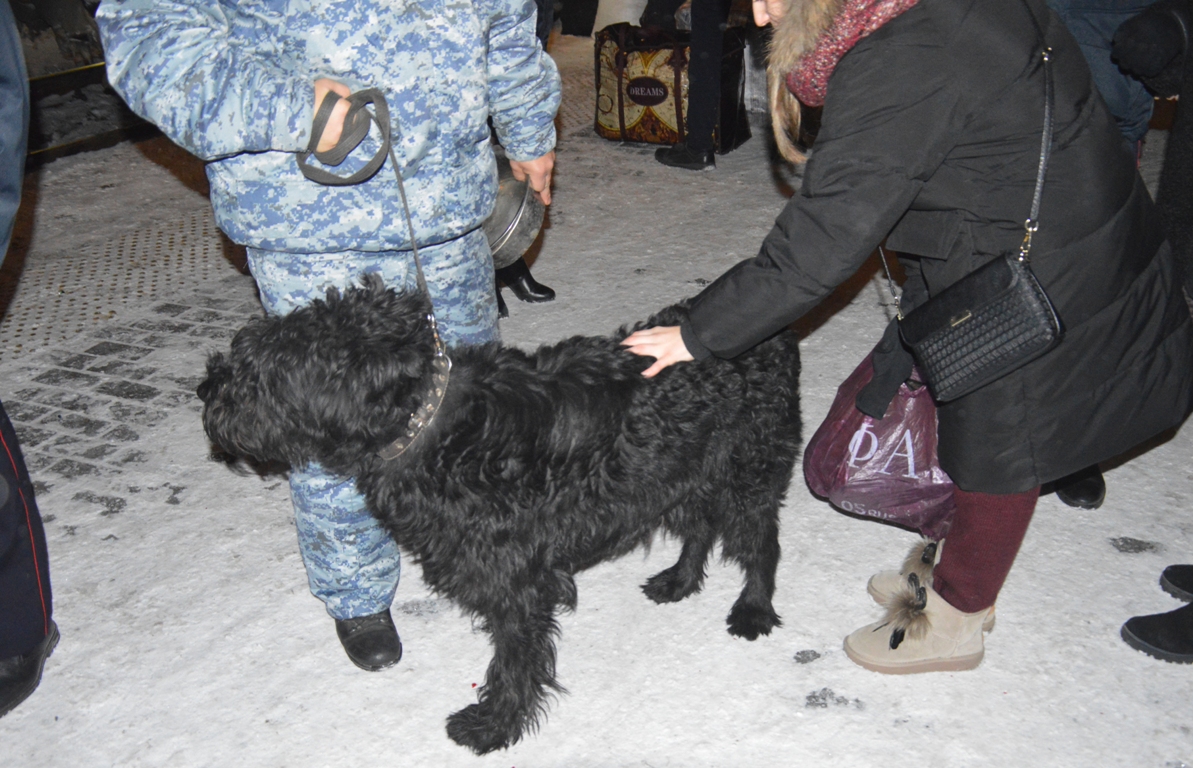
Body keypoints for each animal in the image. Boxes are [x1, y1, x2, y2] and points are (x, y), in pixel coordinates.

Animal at [200, 279, 801, 753]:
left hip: (749, 470)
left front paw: (493, 725)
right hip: (683, 473)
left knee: (762, 544)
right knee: (700, 527)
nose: (207, 389)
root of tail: (775, 336)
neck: (434, 429)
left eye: (266, 368)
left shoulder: (518, 586)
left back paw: (752, 610)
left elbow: (513, 664)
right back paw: (679, 581)